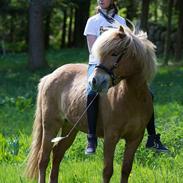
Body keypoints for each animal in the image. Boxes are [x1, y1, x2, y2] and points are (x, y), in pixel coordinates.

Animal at [25, 25, 157, 183]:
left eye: (114, 53)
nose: (95, 81)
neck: (132, 99)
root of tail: (50, 76)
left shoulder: (134, 139)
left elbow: (126, 169)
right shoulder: (110, 137)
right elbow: (107, 171)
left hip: (70, 128)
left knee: (57, 154)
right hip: (51, 126)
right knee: (43, 159)